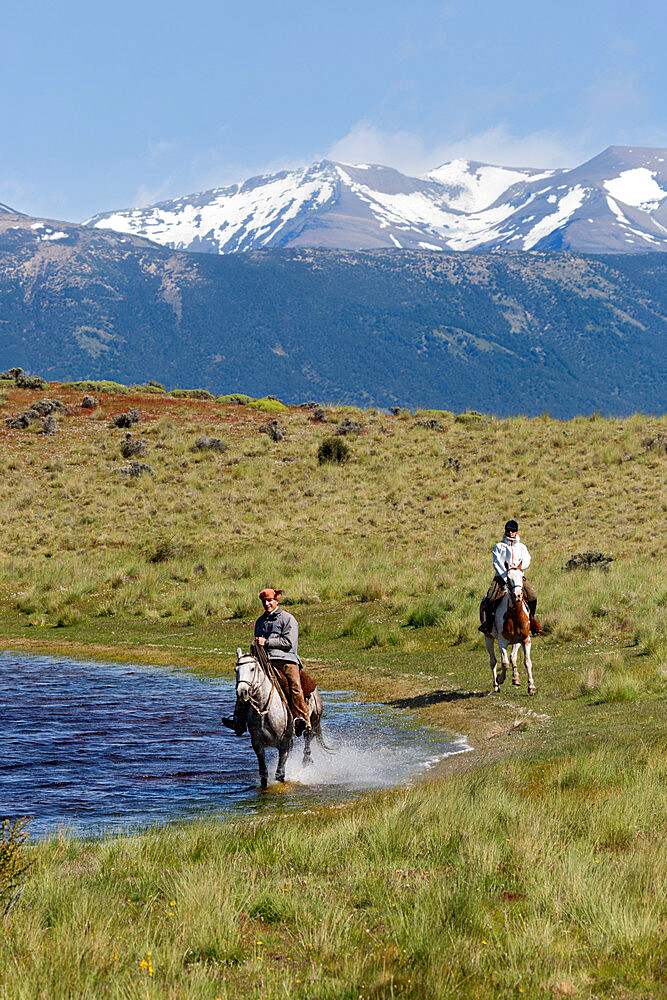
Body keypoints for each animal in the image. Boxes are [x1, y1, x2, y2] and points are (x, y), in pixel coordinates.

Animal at [236, 648, 328, 788]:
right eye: (236, 670)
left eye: (252, 669)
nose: (242, 692)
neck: (265, 711)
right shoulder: (257, 745)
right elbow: (264, 774)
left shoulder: (283, 744)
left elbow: (280, 775)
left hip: (312, 722)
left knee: (308, 740)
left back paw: (306, 761)